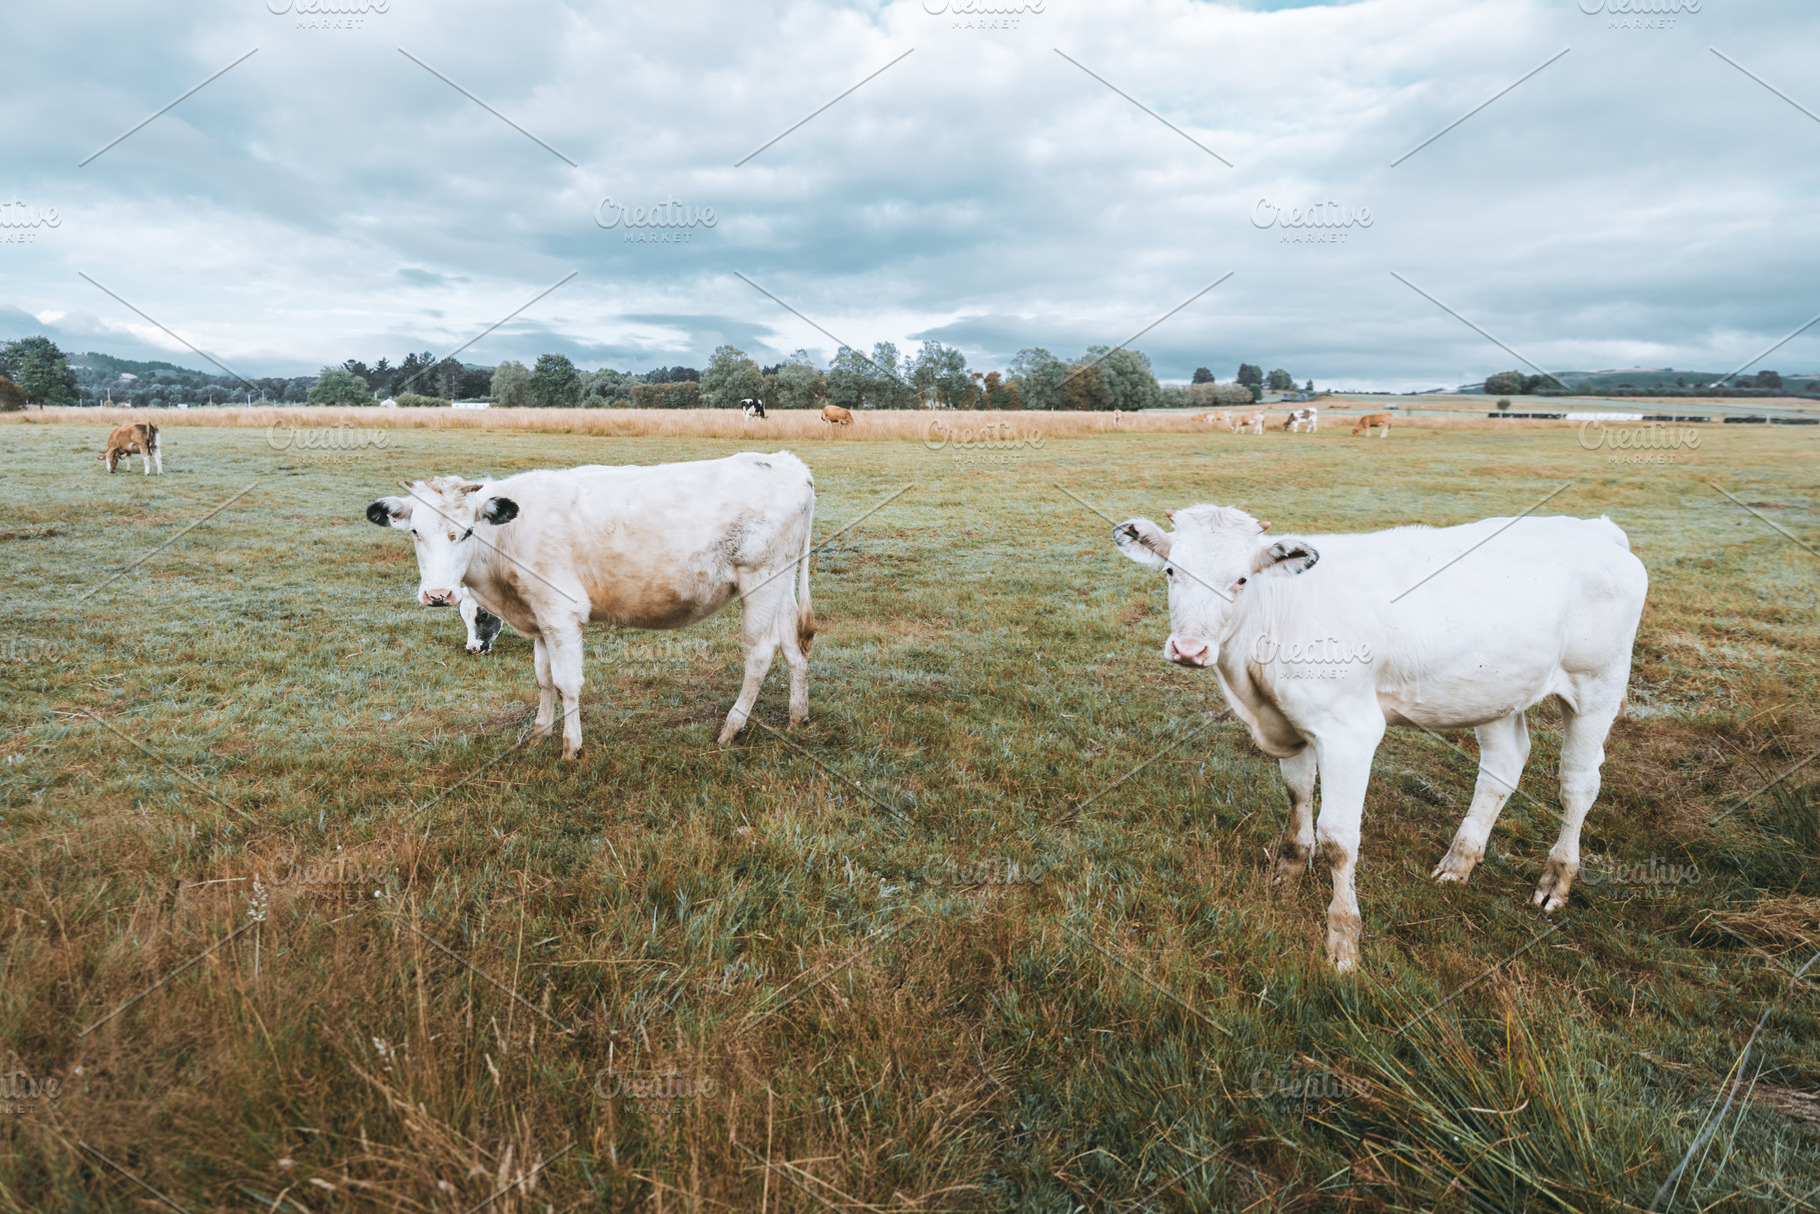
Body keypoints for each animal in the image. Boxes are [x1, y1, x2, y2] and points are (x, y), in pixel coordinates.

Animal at [366, 453, 816, 758]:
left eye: (467, 531)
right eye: (414, 532)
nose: (438, 594)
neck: (509, 538)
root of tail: (785, 461)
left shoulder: (561, 614)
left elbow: (568, 683)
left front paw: (571, 747)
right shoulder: (541, 618)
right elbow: (544, 679)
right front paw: (538, 733)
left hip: (759, 581)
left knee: (760, 654)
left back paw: (731, 728)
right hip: (779, 583)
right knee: (793, 646)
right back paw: (798, 717)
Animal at [1112, 504, 1647, 972]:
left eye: (1241, 579)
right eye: (1171, 572)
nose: (1189, 649)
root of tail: (1595, 528)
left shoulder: (1349, 731)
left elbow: (1339, 839)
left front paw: (1343, 940)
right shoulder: (1291, 722)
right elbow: (1297, 796)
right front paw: (1287, 873)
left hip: (1597, 686)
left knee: (1578, 785)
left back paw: (1556, 880)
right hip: (1496, 692)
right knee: (1503, 766)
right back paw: (1459, 862)